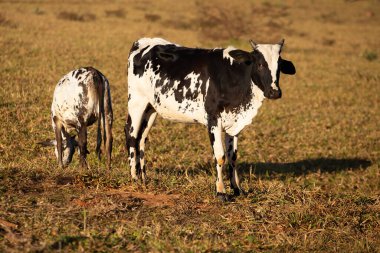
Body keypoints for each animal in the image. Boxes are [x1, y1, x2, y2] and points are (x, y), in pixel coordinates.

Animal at [126, 37, 296, 201]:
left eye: (279, 65)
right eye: (260, 64)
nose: (274, 92)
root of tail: (142, 42)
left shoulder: (234, 124)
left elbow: (232, 157)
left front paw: (237, 188)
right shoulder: (213, 119)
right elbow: (220, 156)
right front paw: (220, 191)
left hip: (151, 108)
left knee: (142, 138)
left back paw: (144, 177)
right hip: (136, 102)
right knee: (131, 136)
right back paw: (134, 177)